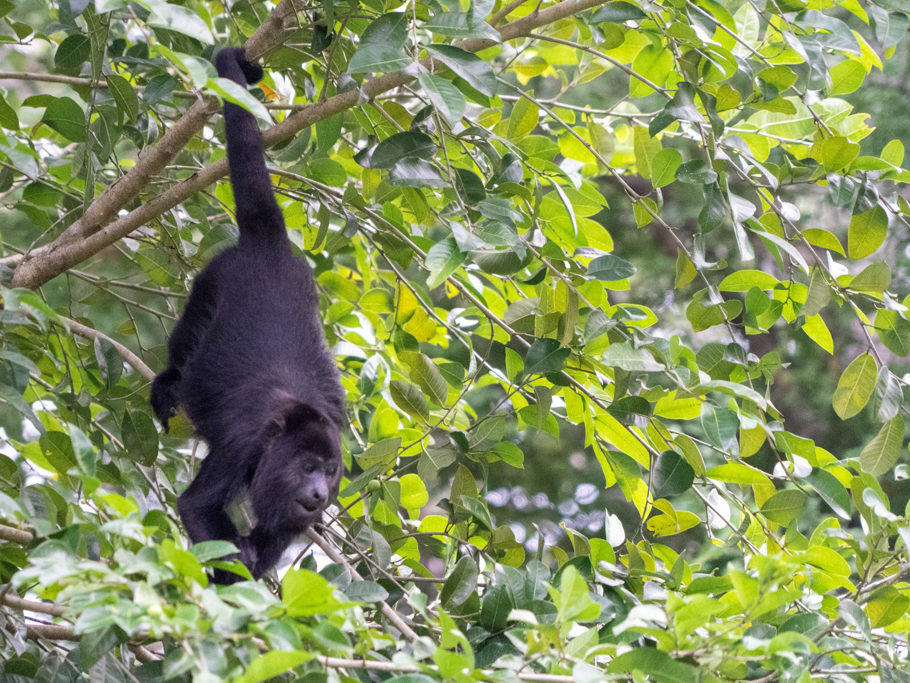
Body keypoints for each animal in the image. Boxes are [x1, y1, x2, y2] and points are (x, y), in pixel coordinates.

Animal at [153, 46, 346, 584]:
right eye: (307, 467)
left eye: (330, 471)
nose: (319, 493)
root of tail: (270, 243)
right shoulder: (244, 442)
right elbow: (197, 505)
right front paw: (232, 575)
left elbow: (282, 527)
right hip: (214, 276)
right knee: (185, 338)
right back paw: (167, 384)